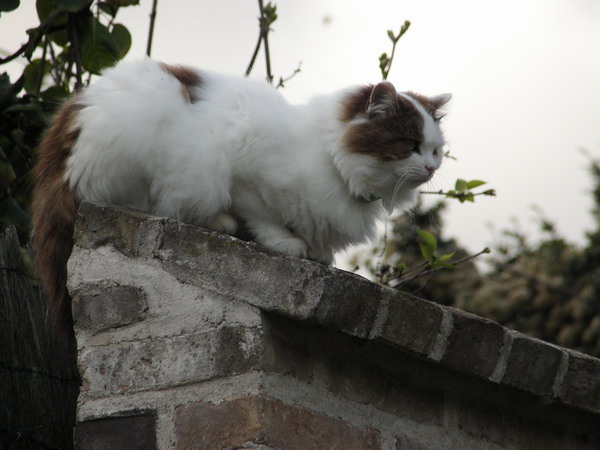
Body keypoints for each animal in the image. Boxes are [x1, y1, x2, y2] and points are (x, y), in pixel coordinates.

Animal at [29, 57, 450, 338]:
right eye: (410, 145)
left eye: (436, 150)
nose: (431, 168)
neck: (332, 160)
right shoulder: (244, 172)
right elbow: (263, 215)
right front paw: (287, 242)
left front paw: (318, 251)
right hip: (160, 150)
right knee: (161, 204)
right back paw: (222, 221)